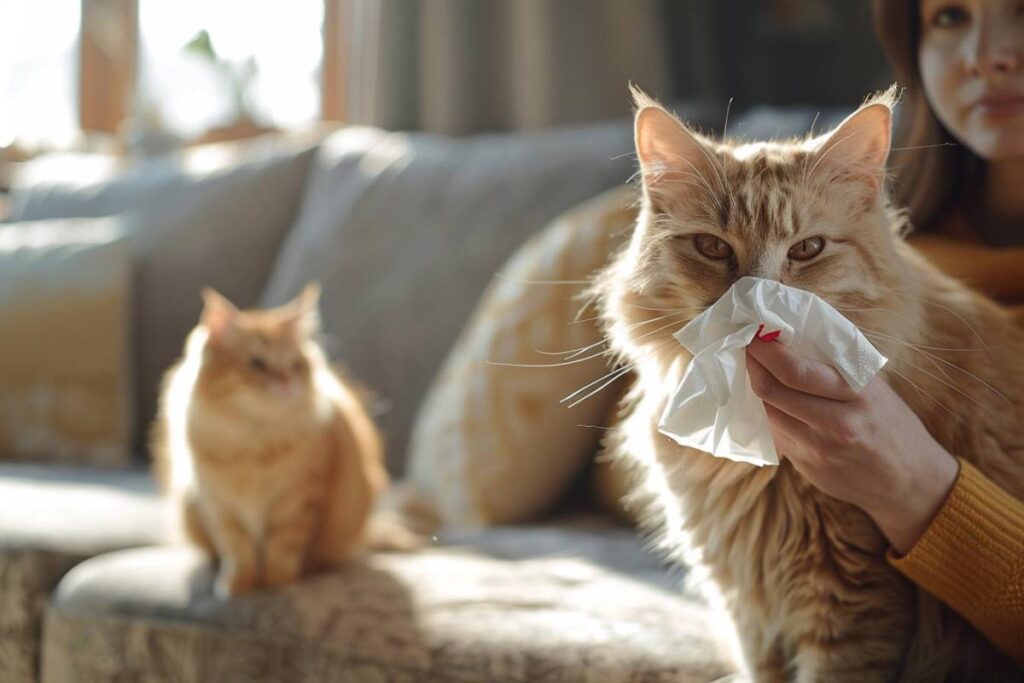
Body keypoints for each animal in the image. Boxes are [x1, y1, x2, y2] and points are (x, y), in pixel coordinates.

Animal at [151, 282, 387, 598]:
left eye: (296, 365)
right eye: (257, 364)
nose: (287, 381)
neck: (253, 445)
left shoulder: (299, 499)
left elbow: (283, 547)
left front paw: (277, 582)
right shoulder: (218, 503)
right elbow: (237, 549)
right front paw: (237, 585)